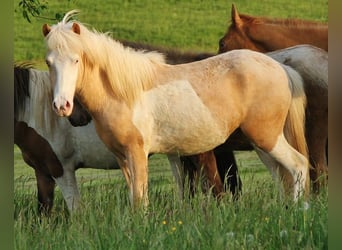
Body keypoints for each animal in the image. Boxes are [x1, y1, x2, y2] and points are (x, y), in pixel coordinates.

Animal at [42, 10, 310, 207]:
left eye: (76, 59)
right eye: (48, 62)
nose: (63, 106)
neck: (124, 93)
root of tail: (280, 67)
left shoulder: (138, 154)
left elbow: (140, 201)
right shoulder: (122, 157)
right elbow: (133, 197)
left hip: (267, 138)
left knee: (298, 165)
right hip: (261, 144)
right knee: (281, 175)